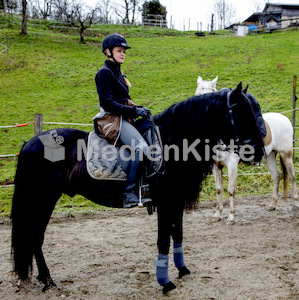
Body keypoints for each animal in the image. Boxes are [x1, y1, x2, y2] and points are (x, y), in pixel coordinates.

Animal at [11, 83, 264, 294]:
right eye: (242, 112)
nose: (258, 152)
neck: (173, 143)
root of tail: (30, 143)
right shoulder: (166, 203)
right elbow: (163, 240)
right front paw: (165, 282)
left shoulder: (176, 201)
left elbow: (178, 234)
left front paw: (182, 270)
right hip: (42, 199)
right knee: (35, 237)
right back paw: (47, 279)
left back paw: (44, 278)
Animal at [196, 76, 298, 224]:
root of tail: (285, 118)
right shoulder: (216, 165)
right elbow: (219, 189)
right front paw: (217, 214)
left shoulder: (232, 164)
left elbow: (231, 190)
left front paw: (231, 216)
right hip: (269, 156)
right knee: (276, 176)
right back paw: (272, 204)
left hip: (286, 154)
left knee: (292, 176)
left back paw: (295, 204)